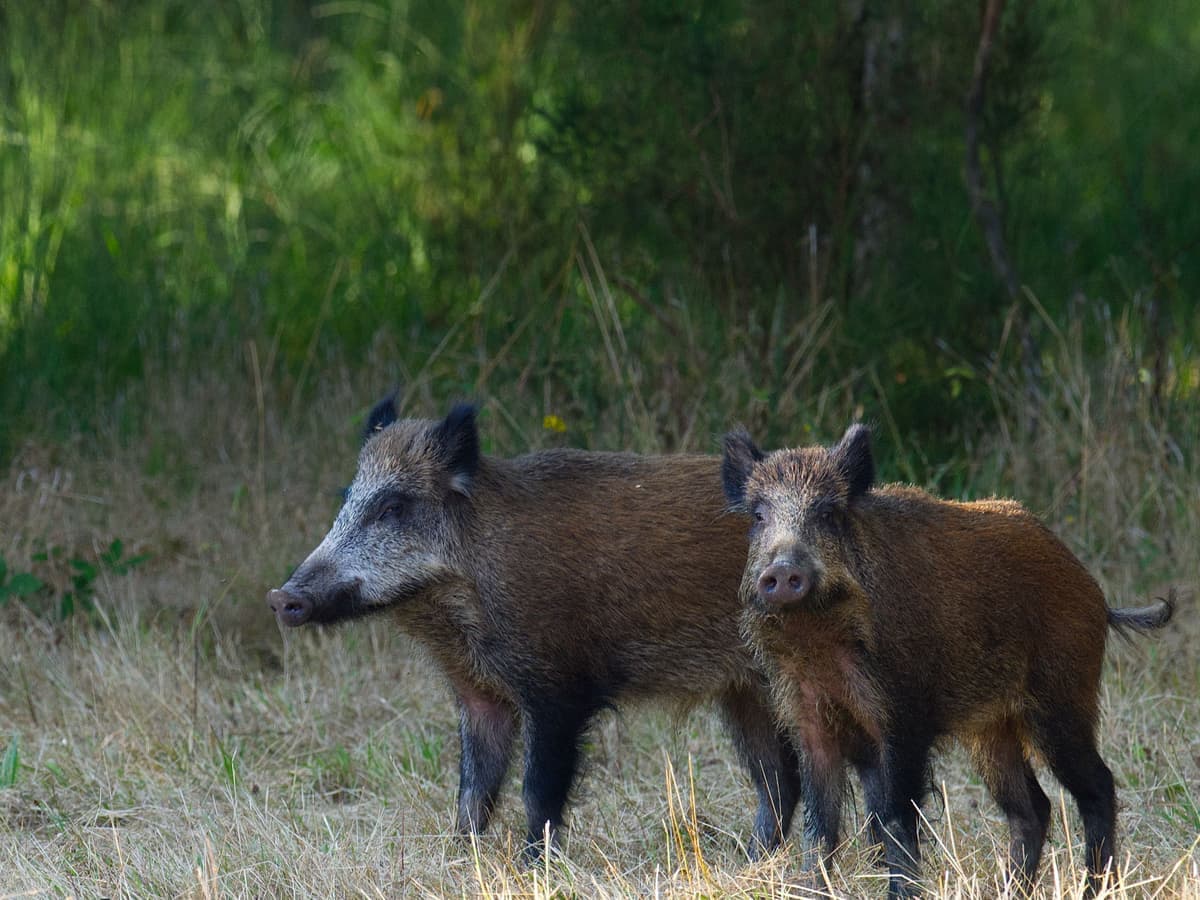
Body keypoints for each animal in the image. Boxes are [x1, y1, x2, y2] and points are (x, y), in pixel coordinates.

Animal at [267, 398, 802, 859]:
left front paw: (532, 867)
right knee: (780, 782)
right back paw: (752, 861)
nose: (282, 598)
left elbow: (537, 790)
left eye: (393, 507)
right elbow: (472, 789)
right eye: (346, 499)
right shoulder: (478, 694)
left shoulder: (559, 687)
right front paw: (457, 858)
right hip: (744, 690)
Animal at [721, 423, 1174, 897]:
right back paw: (1008, 890)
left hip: (1063, 698)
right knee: (1033, 806)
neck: (819, 642)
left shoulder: (903, 718)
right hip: (990, 731)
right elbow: (819, 825)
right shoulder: (808, 720)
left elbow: (894, 818)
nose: (782, 570)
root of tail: (1096, 594)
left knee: (1097, 785)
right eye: (758, 516)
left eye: (827, 513)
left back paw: (1093, 886)